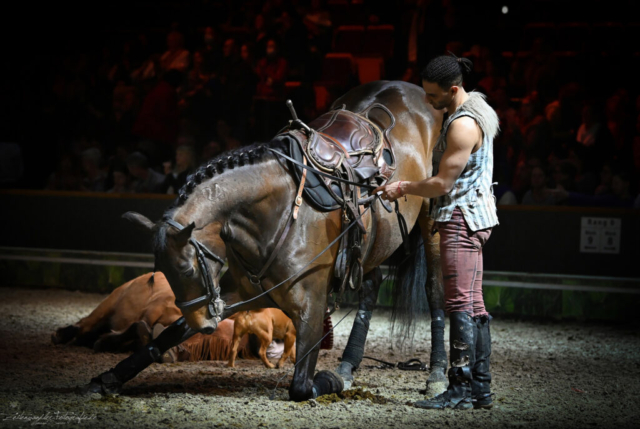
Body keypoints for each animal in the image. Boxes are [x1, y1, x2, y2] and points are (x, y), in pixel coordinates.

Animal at [80, 80, 448, 402]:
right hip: (373, 244)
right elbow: (168, 334)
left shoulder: (312, 308)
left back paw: (437, 374)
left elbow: (301, 385)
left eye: (186, 270)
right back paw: (348, 364)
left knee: (434, 289)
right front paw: (109, 377)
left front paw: (328, 380)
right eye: (164, 274)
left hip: (432, 219)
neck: (279, 214)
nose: (206, 326)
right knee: (371, 287)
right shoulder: (234, 293)